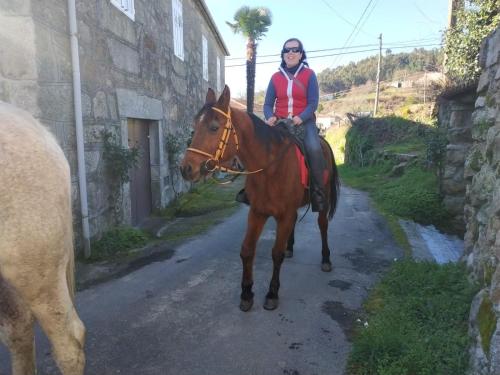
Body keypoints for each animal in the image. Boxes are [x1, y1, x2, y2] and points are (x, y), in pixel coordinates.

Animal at [180, 86, 340, 312]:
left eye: (214, 127)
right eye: (195, 125)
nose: (186, 169)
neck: (270, 167)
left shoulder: (284, 215)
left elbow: (276, 253)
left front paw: (272, 293)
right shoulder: (257, 212)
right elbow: (247, 250)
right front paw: (246, 293)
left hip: (321, 203)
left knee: (323, 226)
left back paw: (326, 258)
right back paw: (291, 247)